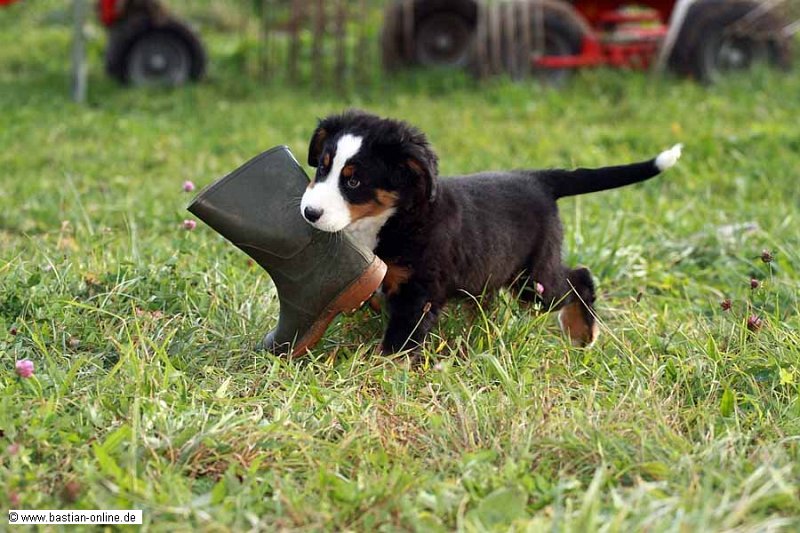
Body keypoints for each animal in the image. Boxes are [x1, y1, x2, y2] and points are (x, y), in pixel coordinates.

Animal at [300, 110, 682, 354]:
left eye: (354, 181)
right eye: (322, 168)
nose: (309, 213)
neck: (391, 218)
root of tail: (538, 179)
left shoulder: (419, 290)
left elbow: (399, 340)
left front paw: (381, 368)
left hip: (533, 281)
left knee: (579, 278)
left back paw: (582, 333)